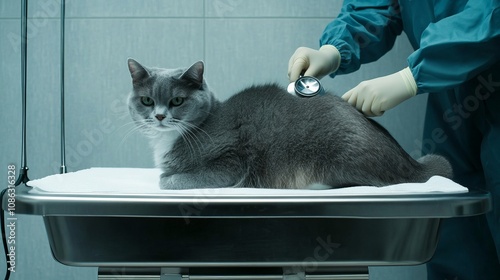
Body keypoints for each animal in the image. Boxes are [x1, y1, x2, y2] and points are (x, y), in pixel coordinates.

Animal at [126, 59, 454, 190]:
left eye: (177, 101)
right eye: (146, 100)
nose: (159, 116)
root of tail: (413, 164)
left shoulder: (230, 161)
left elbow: (166, 179)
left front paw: (167, 177)